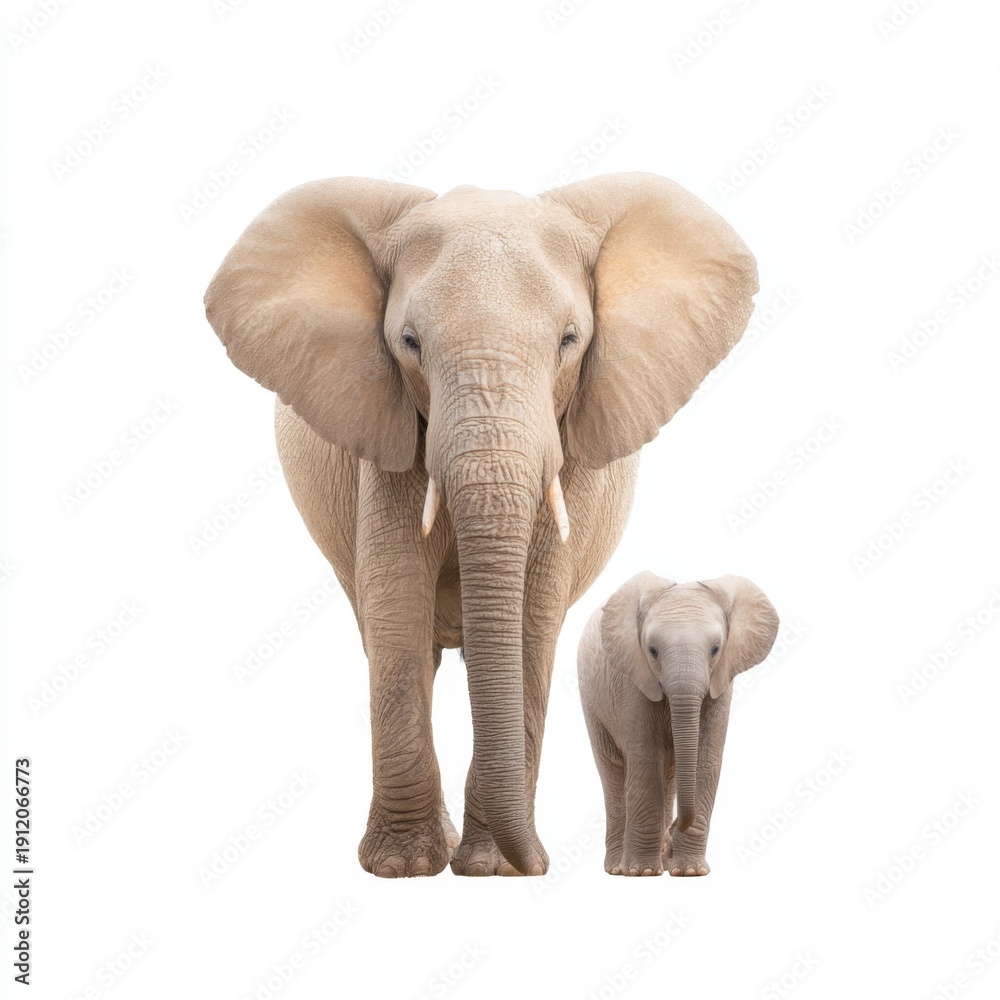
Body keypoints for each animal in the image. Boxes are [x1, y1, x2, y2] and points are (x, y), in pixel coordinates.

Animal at [204, 172, 758, 877]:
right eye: (409, 343)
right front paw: (404, 868)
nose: (539, 865)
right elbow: (397, 610)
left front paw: (491, 867)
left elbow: (529, 617)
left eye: (569, 340)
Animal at [578, 572, 778, 876]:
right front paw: (641, 872)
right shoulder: (632, 678)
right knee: (612, 769)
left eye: (715, 649)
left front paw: (690, 872)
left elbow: (706, 760)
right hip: (592, 700)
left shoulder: (721, 680)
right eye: (652, 650)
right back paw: (618, 868)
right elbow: (646, 759)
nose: (670, 838)